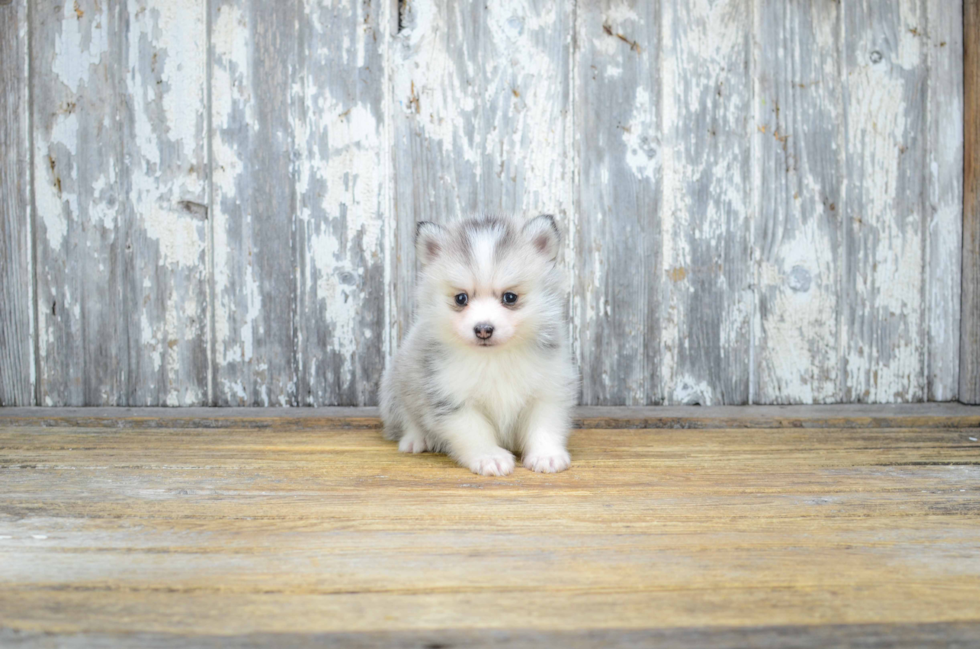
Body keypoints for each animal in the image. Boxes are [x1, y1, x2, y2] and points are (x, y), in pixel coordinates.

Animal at [378, 215, 580, 474]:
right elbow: (475, 432)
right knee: (407, 418)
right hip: (395, 386)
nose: (483, 329)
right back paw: (416, 439)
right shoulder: (452, 399)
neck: (495, 358)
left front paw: (547, 455)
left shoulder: (548, 390)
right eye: (461, 298)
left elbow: (544, 426)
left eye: (510, 297)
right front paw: (489, 457)